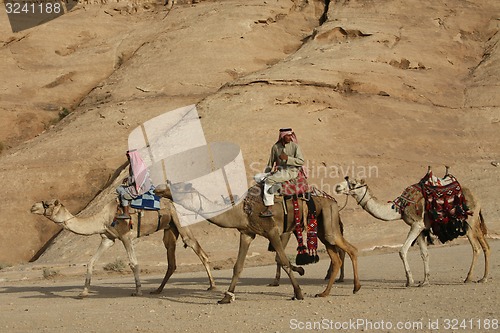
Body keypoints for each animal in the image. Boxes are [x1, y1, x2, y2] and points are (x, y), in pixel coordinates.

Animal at [30, 197, 215, 296]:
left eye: (48, 204)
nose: (32, 207)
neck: (102, 218)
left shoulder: (126, 236)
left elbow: (134, 263)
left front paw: (137, 291)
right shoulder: (108, 238)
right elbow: (91, 262)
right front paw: (83, 293)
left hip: (180, 221)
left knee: (195, 246)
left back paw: (212, 286)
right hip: (170, 227)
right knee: (171, 257)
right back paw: (157, 290)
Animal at [166, 182, 362, 304]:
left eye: (178, 186)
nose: (161, 190)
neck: (242, 210)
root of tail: (333, 201)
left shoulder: (272, 231)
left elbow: (283, 260)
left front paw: (298, 292)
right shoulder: (247, 233)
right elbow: (238, 266)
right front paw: (226, 297)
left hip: (329, 224)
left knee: (350, 249)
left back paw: (356, 287)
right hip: (322, 229)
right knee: (337, 257)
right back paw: (324, 292)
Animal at [334, 166, 490, 286]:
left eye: (353, 183)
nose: (337, 187)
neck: (399, 208)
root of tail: (477, 198)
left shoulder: (416, 224)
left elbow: (402, 251)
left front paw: (410, 281)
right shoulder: (422, 228)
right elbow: (424, 254)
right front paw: (425, 281)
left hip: (468, 222)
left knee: (476, 248)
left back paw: (468, 278)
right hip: (475, 222)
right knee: (485, 246)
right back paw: (483, 278)